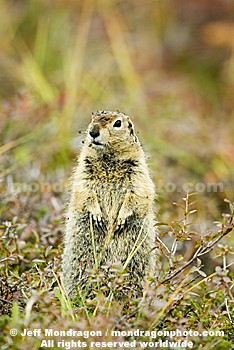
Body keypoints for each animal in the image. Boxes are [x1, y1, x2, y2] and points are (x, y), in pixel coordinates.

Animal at [62, 110, 158, 296]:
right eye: (92, 118)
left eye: (118, 123)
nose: (93, 131)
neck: (109, 158)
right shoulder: (84, 169)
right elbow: (84, 190)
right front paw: (98, 216)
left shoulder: (138, 169)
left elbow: (138, 192)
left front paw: (121, 219)